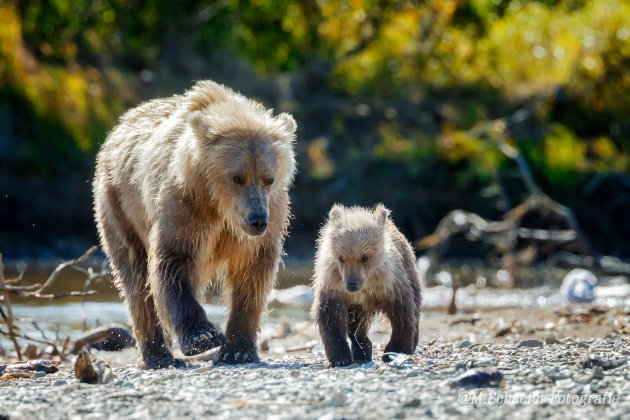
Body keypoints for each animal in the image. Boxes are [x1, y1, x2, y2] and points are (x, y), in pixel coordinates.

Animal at [94, 80, 298, 370]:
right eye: (238, 177)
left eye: (268, 178)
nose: (258, 220)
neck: (220, 207)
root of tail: (118, 127)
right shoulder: (187, 207)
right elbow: (174, 260)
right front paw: (203, 337)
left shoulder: (270, 215)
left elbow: (252, 273)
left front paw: (238, 350)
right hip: (118, 205)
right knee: (135, 279)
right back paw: (158, 356)